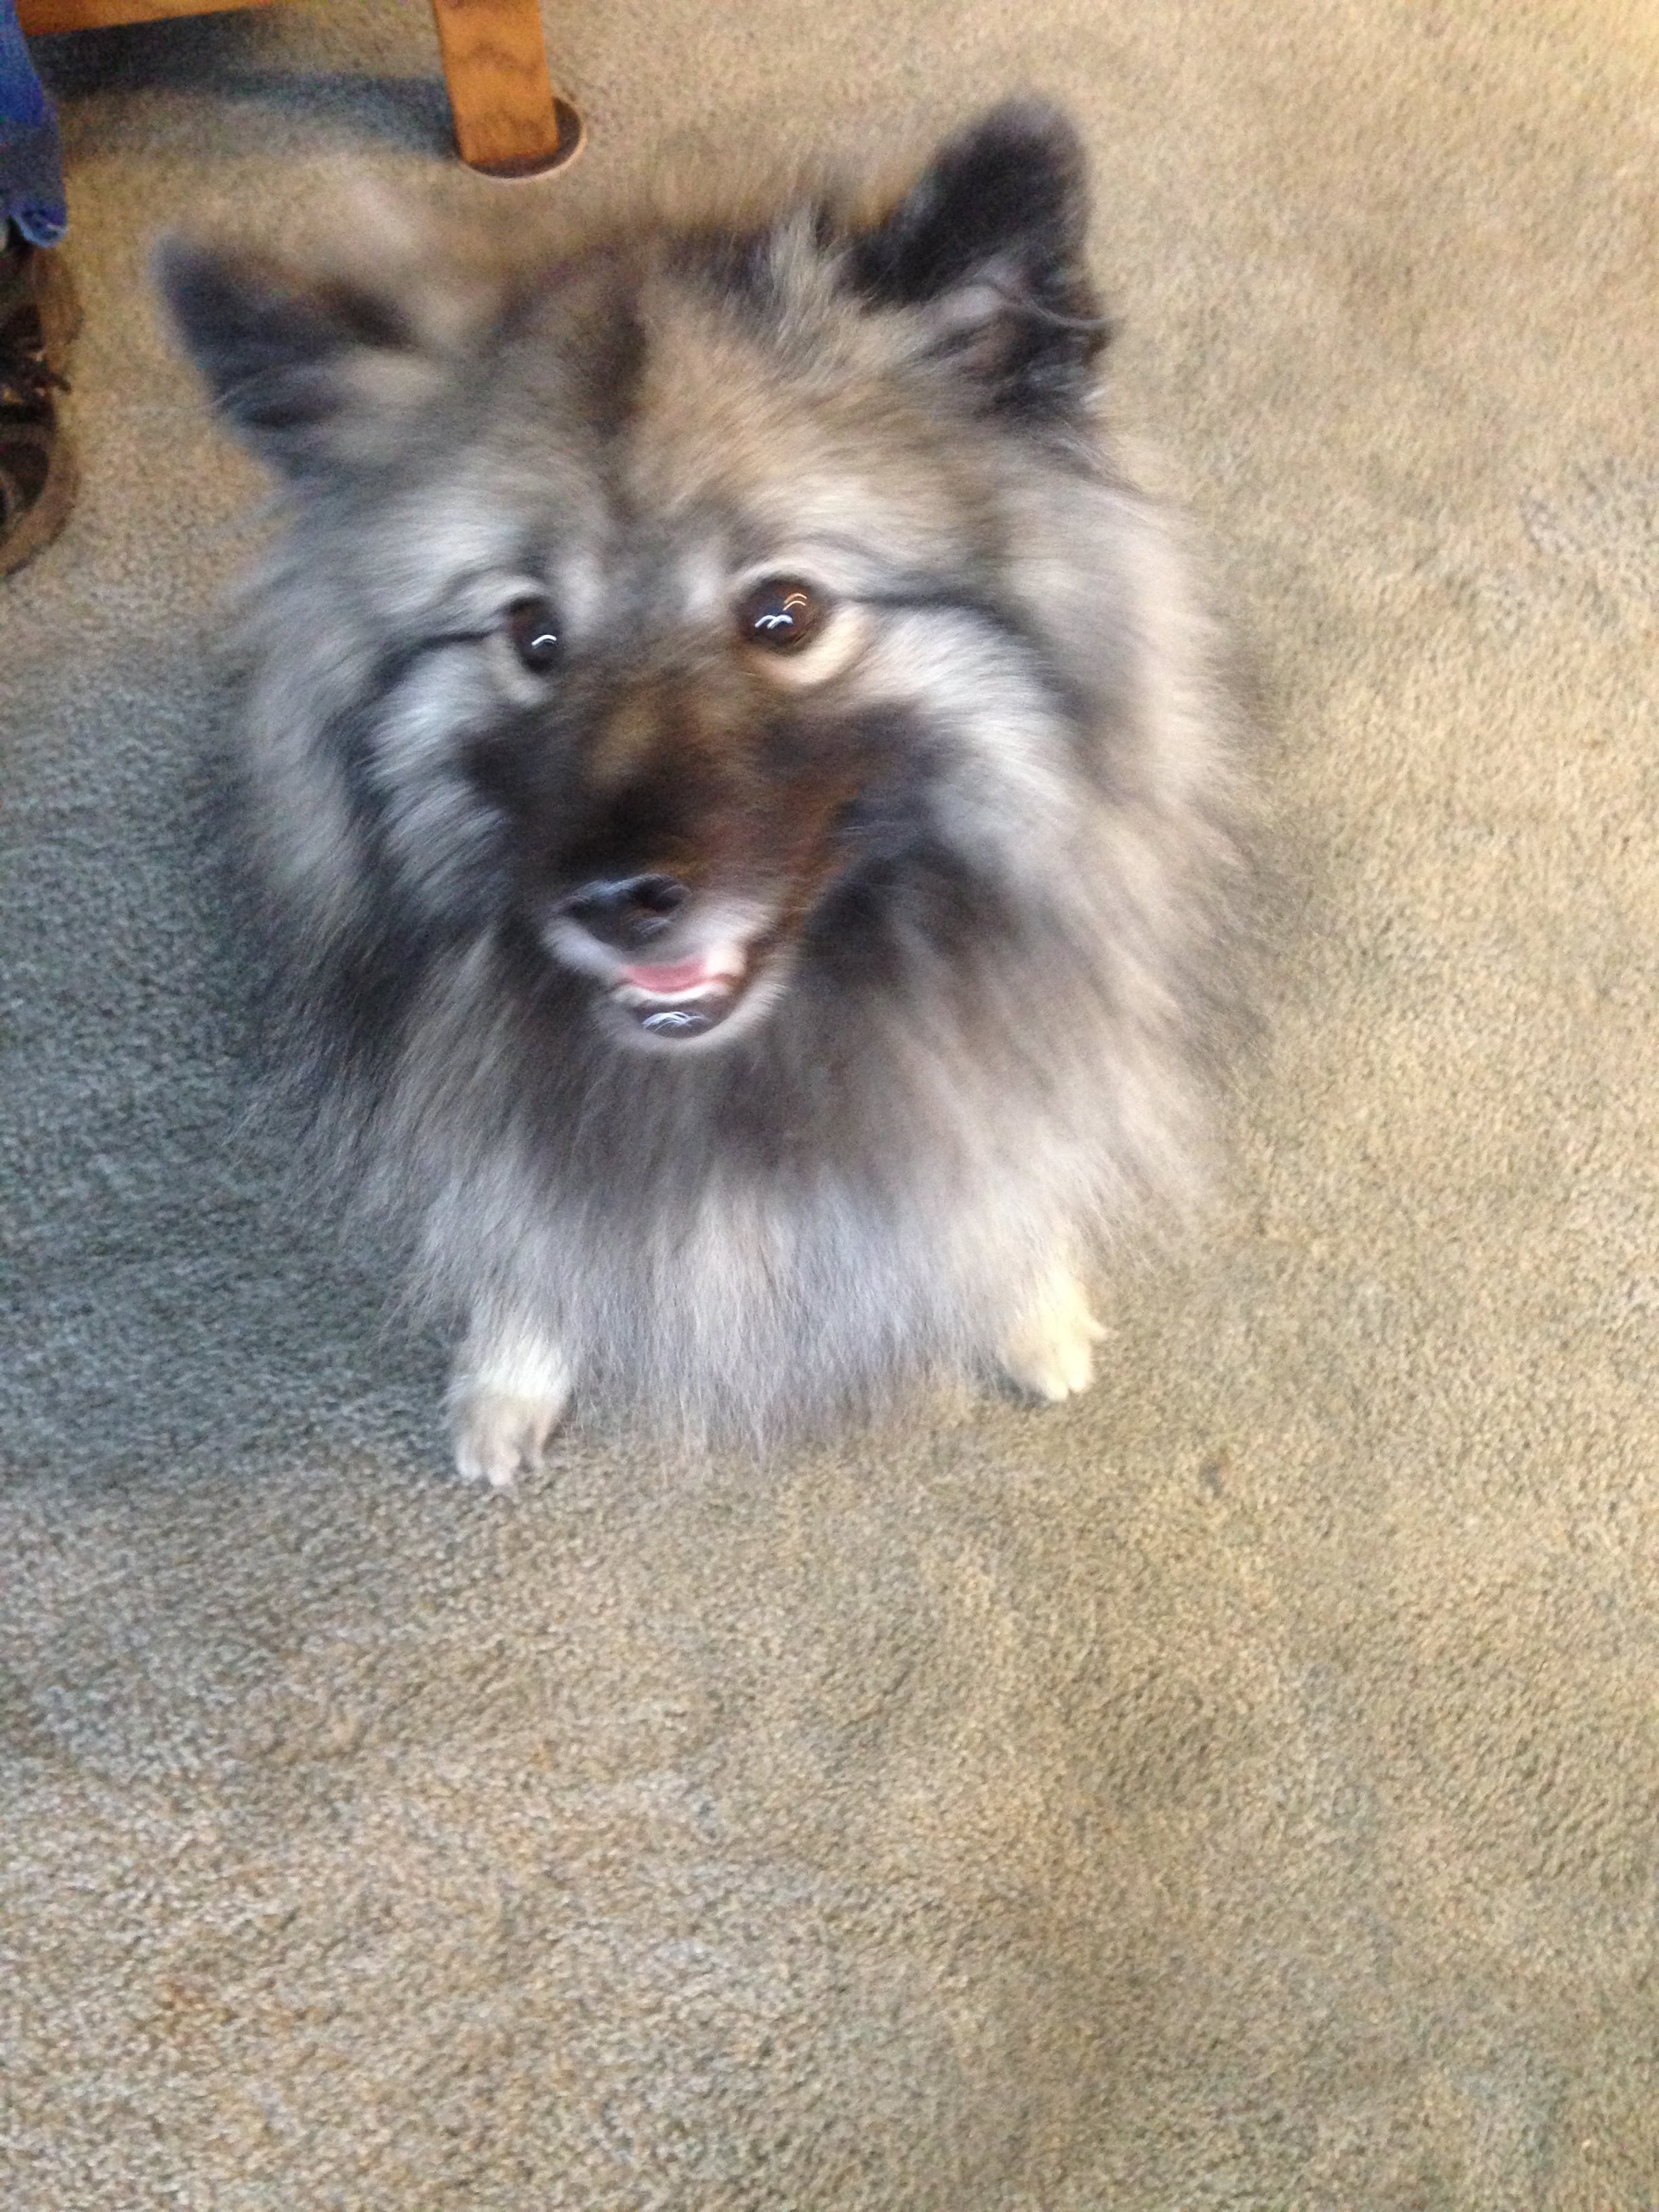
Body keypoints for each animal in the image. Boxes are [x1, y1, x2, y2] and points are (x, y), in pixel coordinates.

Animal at [159, 99, 1253, 1482]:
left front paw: (1027, 1304)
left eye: (784, 612)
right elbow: (526, 1239)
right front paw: (509, 1372)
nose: (616, 901)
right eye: (531, 636)